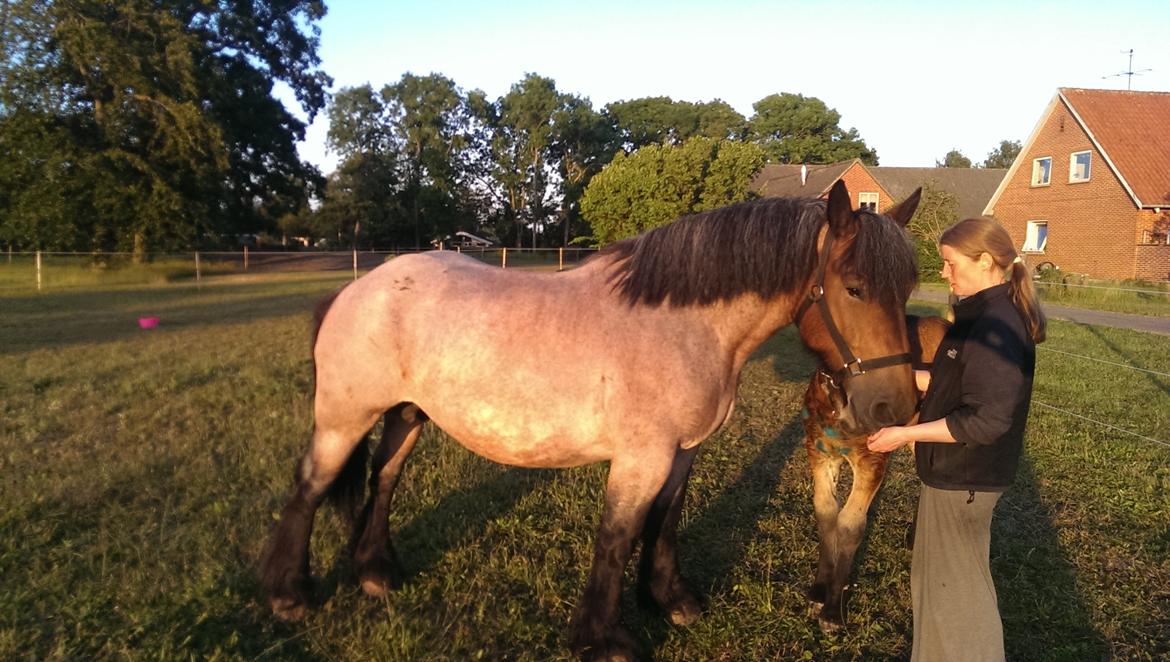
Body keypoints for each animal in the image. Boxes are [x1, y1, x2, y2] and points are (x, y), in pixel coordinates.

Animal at [258, 181, 921, 662]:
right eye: (854, 287)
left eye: (911, 284)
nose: (895, 409)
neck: (684, 326)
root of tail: (356, 290)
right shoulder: (641, 456)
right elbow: (617, 535)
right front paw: (604, 640)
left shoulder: (682, 451)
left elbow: (663, 522)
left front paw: (669, 601)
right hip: (345, 418)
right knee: (310, 487)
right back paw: (288, 595)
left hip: (406, 414)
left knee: (385, 479)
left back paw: (376, 574)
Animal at [804, 313, 950, 636]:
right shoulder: (820, 455)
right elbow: (825, 511)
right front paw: (819, 591)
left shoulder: (871, 460)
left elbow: (851, 523)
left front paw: (833, 611)